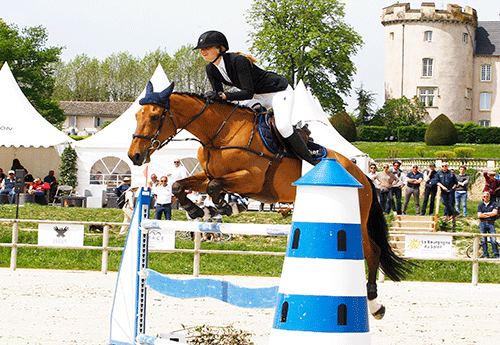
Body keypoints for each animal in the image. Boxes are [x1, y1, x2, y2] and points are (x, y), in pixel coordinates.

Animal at [127, 81, 408, 320]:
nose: (134, 156)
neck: (219, 134)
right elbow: (180, 185)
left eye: (155, 117)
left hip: (356, 217)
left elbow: (216, 187)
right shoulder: (207, 175)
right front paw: (197, 210)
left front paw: (229, 206)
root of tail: (362, 174)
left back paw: (375, 304)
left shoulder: (251, 179)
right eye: (137, 116)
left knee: (373, 252)